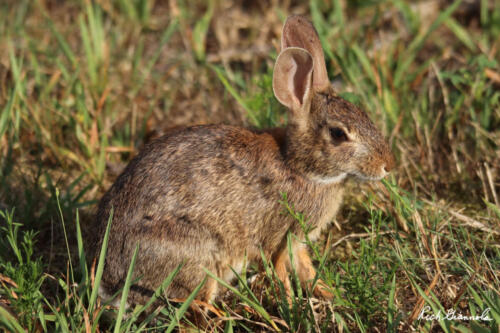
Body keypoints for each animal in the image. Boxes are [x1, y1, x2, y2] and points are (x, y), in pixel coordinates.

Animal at [94, 14, 394, 306]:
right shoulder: (278, 236)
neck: (299, 167)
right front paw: (292, 305)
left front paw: (332, 296)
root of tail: (109, 284)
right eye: (338, 134)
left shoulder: (296, 242)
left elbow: (306, 269)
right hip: (197, 255)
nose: (386, 166)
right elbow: (281, 270)